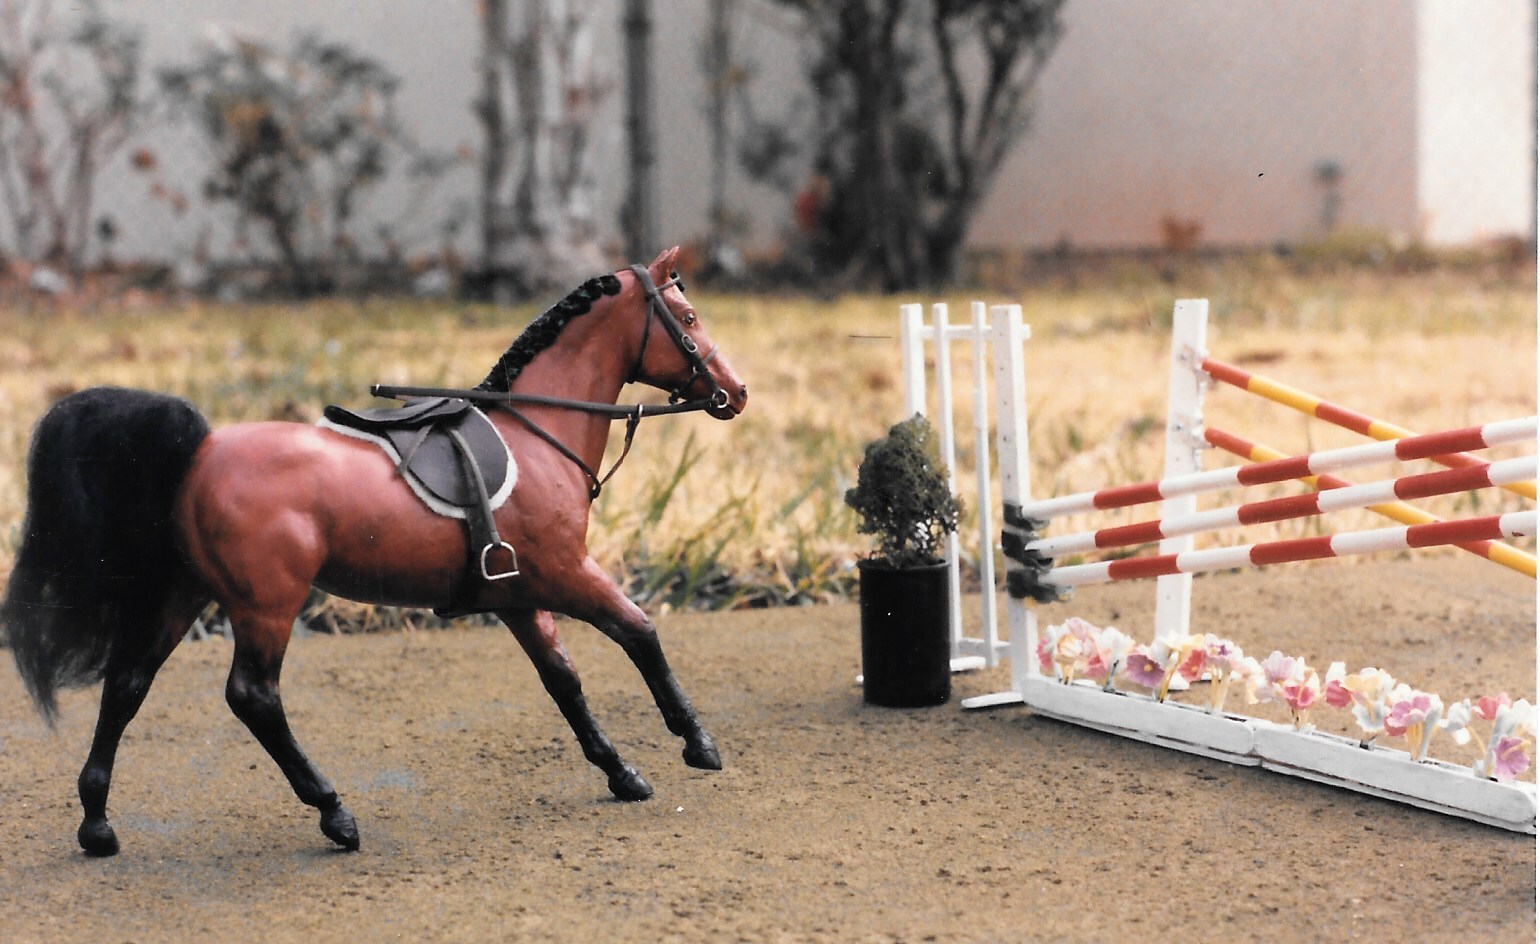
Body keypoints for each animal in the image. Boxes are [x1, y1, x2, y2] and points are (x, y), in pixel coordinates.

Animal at [0, 247, 745, 856]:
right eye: (687, 314)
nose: (735, 393)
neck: (538, 432)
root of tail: (201, 449)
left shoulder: (518, 596)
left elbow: (564, 681)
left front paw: (621, 772)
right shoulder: (568, 575)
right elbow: (639, 631)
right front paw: (697, 744)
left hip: (187, 594)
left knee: (128, 684)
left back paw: (97, 824)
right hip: (267, 605)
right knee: (253, 696)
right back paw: (334, 814)